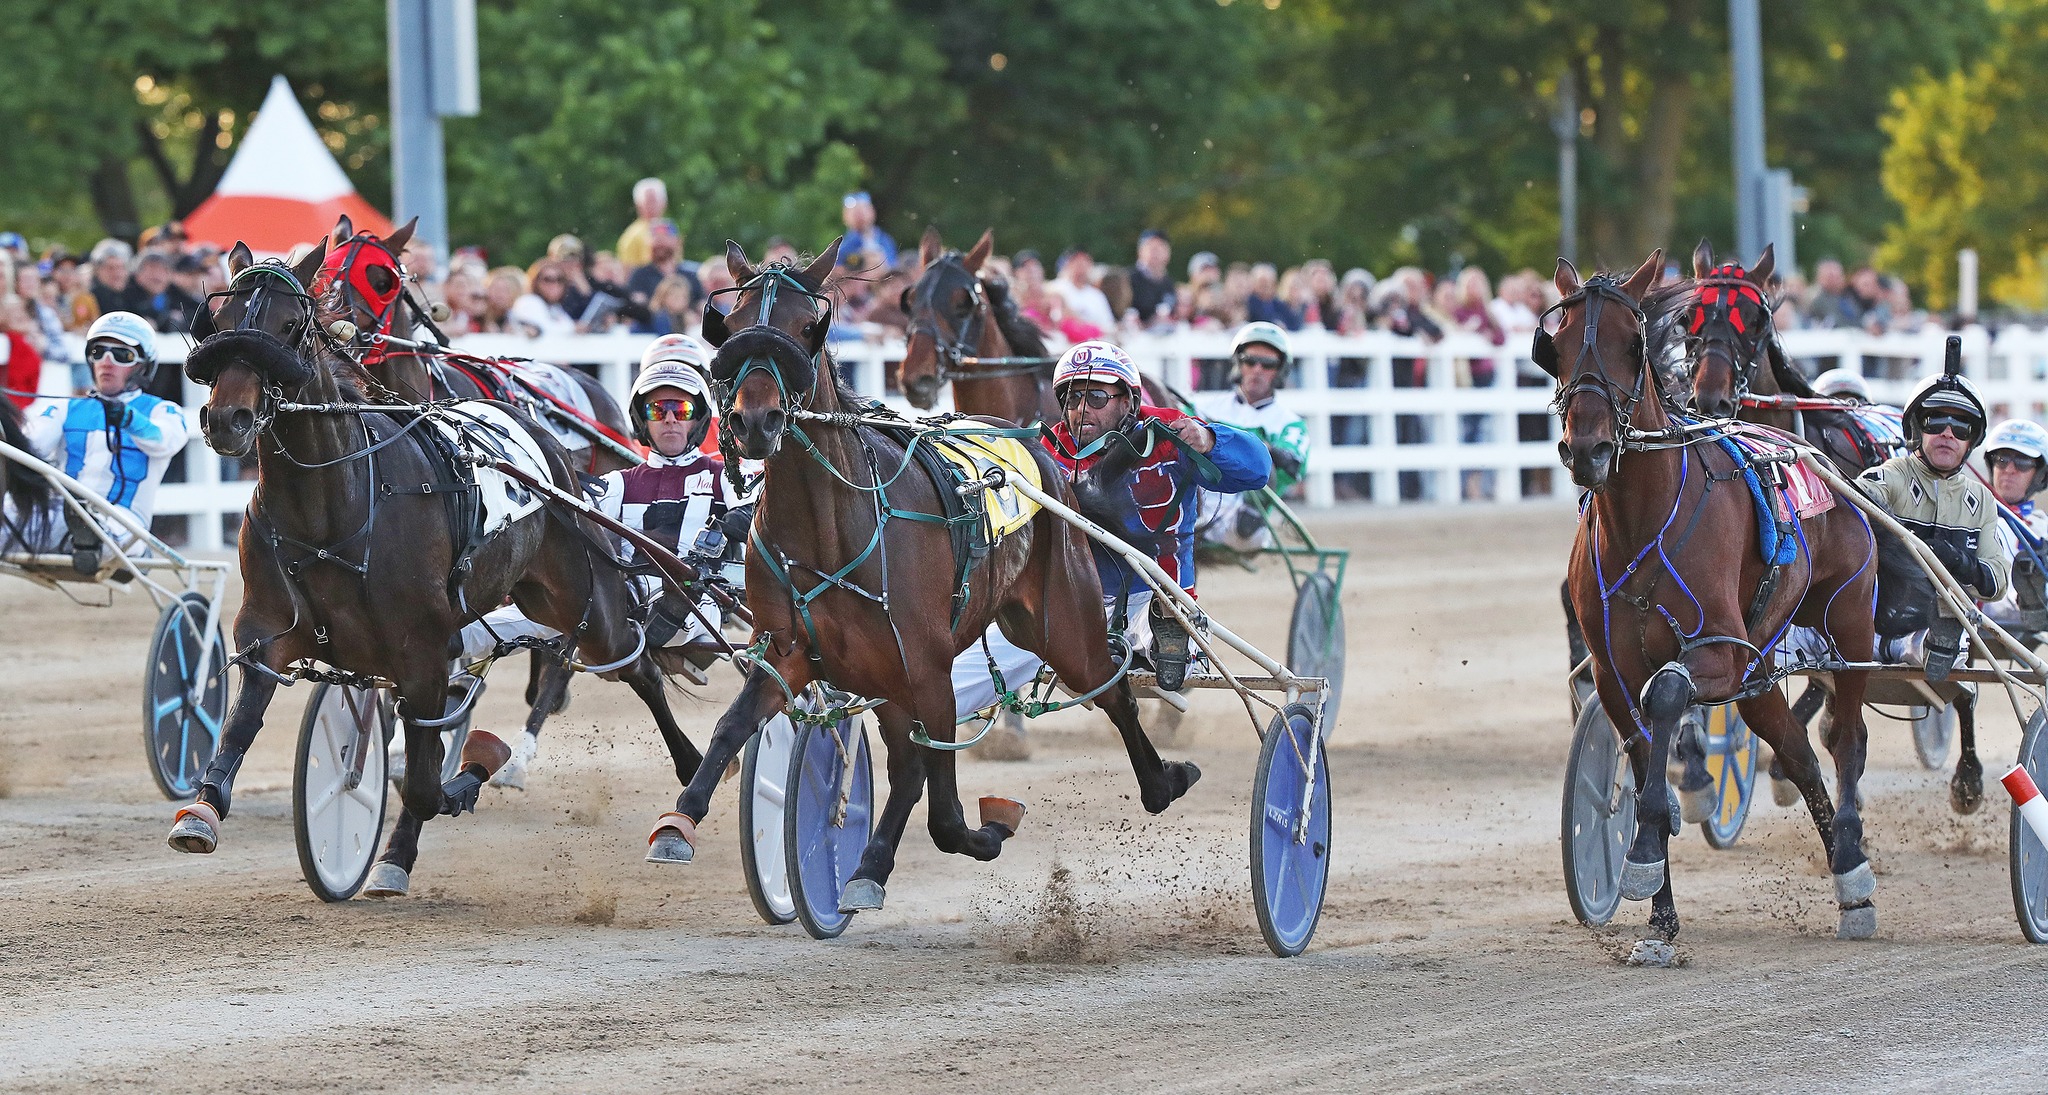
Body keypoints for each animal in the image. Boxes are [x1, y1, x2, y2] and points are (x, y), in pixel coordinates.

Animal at [163, 239, 704, 900]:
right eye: (218, 324)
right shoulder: (269, 627)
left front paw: (462, 779)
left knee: (629, 664)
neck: (336, 503)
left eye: (289, 326)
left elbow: (423, 782)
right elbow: (244, 720)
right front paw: (202, 809)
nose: (229, 420)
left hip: (583, 596)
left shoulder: (420, 651)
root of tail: (540, 432)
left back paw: (685, 780)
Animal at [647, 239, 1196, 916]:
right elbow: (732, 727)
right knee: (911, 764)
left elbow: (946, 812)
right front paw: (681, 820)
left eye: (806, 326)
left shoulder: (926, 665)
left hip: (1061, 624)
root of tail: (1044, 450)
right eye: (734, 322)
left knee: (1111, 690)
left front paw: (989, 826)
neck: (830, 527)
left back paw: (1163, 778)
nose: (756, 420)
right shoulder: (791, 654)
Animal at [1540, 252, 1892, 945]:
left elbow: (1668, 696)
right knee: (1798, 752)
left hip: (1847, 623)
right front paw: (1659, 914)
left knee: (1846, 738)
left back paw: (1855, 873)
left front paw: (1650, 850)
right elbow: (1642, 751)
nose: (1588, 448)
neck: (1641, 520)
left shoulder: (1719, 650)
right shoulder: (1614, 670)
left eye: (1633, 344)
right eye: (1554, 348)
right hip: (1758, 671)